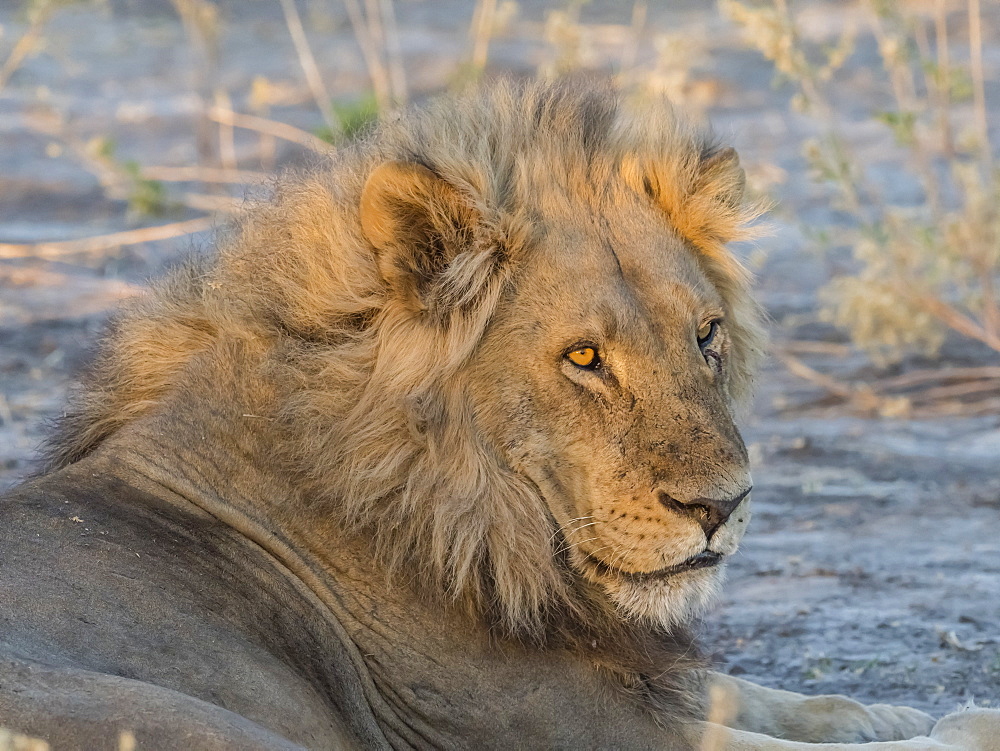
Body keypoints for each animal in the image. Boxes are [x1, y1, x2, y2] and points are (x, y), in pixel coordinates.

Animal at [1, 79, 1000, 748]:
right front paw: (960, 722)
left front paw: (894, 708)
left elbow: (767, 694)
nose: (721, 507)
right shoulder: (558, 722)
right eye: (584, 358)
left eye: (707, 335)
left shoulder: (629, 676)